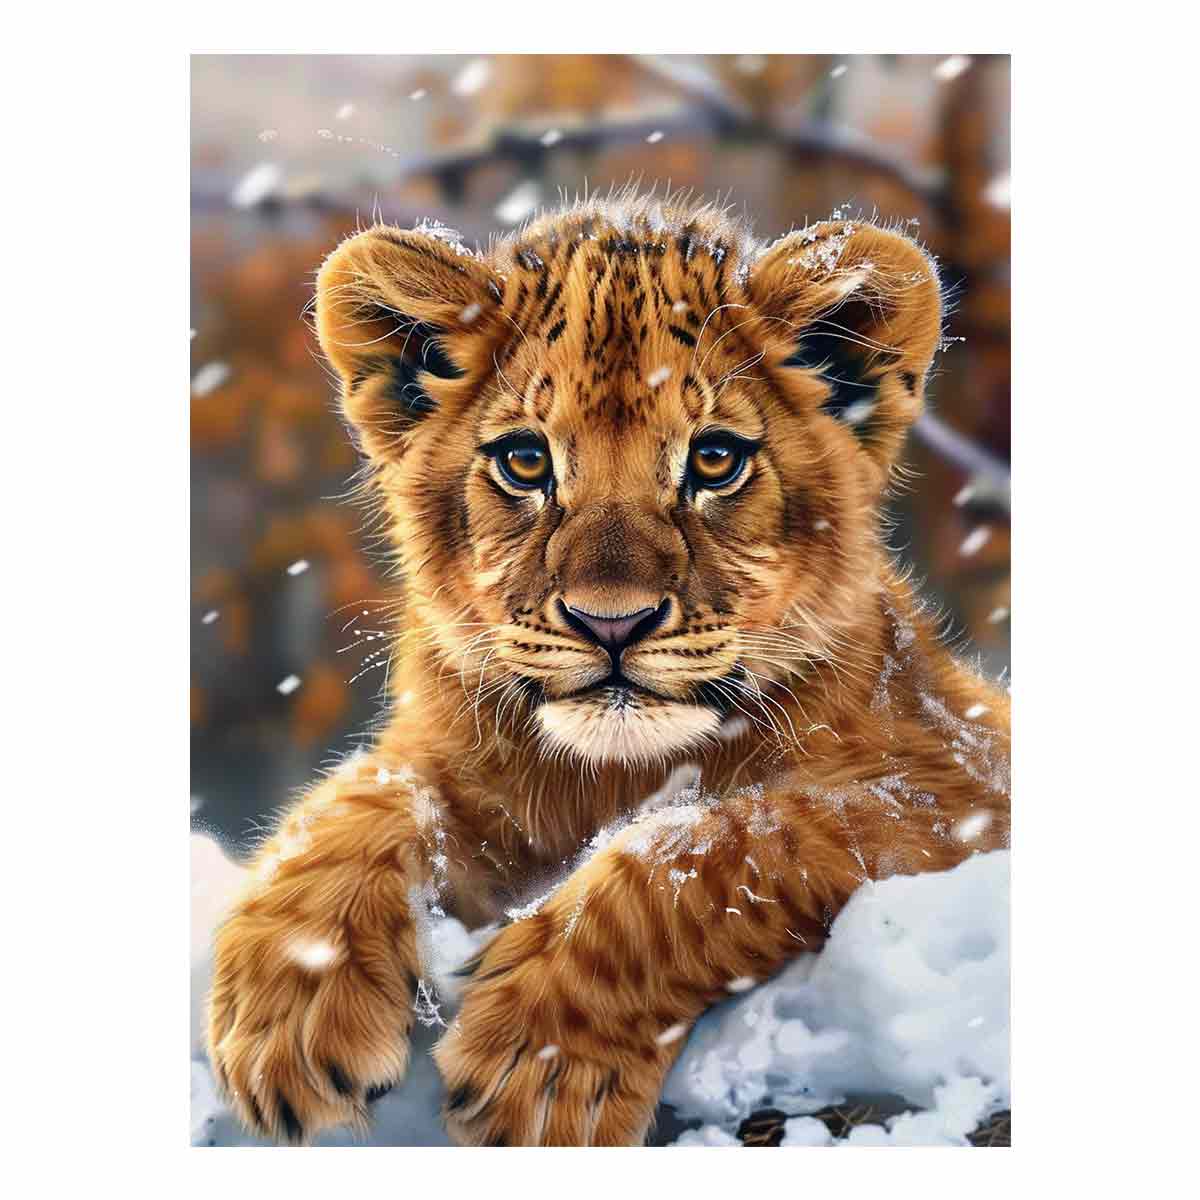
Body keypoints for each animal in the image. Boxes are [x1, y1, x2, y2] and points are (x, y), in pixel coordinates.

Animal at [206, 189, 1010, 1146]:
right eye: (525, 461)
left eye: (715, 459)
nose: (611, 622)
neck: (607, 777)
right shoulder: (446, 756)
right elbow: (360, 798)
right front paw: (287, 1010)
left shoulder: (960, 785)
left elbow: (725, 838)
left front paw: (541, 1058)